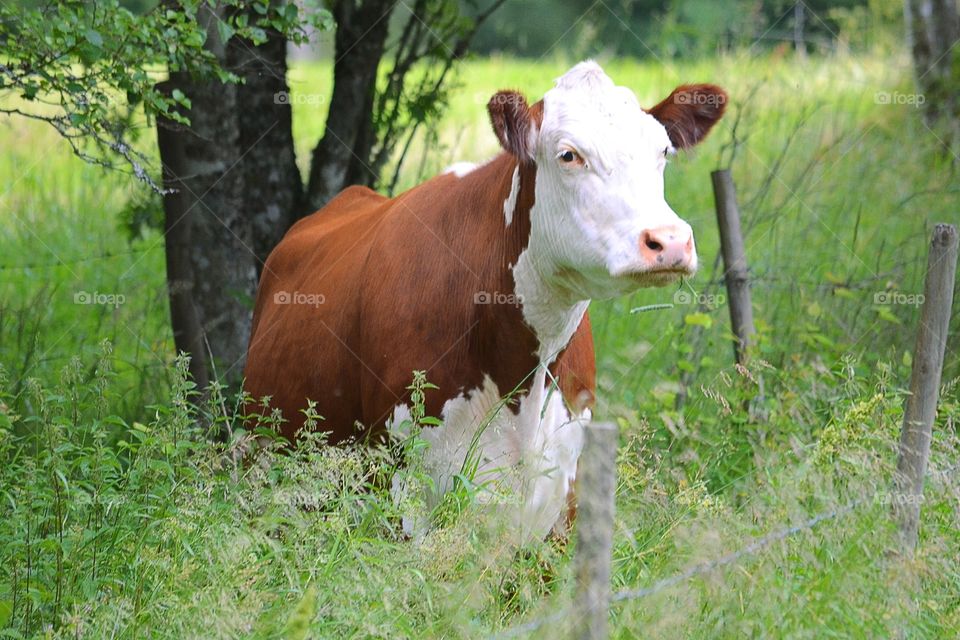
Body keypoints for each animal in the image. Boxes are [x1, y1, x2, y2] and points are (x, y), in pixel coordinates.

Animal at [243, 61, 726, 539]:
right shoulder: (402, 493)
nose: (669, 240)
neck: (520, 378)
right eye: (568, 154)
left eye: (663, 153)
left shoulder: (560, 505)